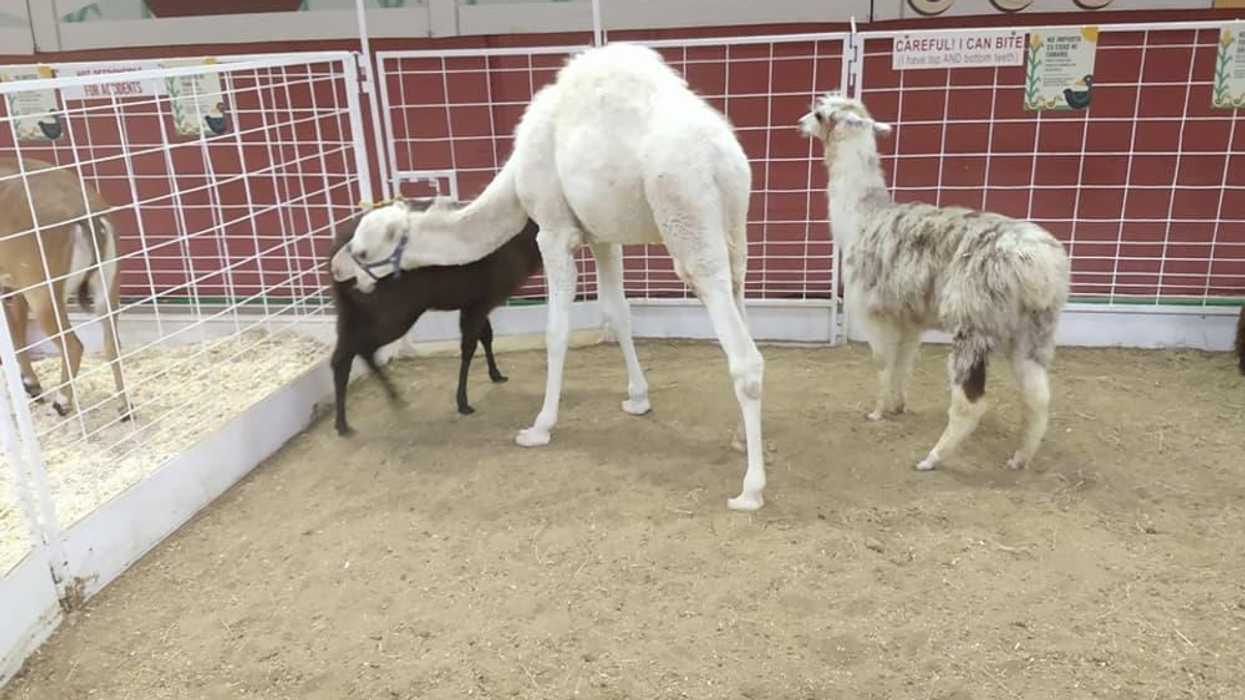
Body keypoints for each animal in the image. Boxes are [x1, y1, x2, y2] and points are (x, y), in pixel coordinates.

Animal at [331, 43, 768, 511]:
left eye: (362, 250)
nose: (336, 266)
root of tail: (725, 160)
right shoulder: (602, 235)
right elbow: (618, 313)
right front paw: (637, 398)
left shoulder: (555, 230)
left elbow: (556, 332)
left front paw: (539, 426)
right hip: (734, 231)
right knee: (740, 300)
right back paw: (741, 438)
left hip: (686, 215)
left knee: (745, 358)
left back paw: (750, 489)